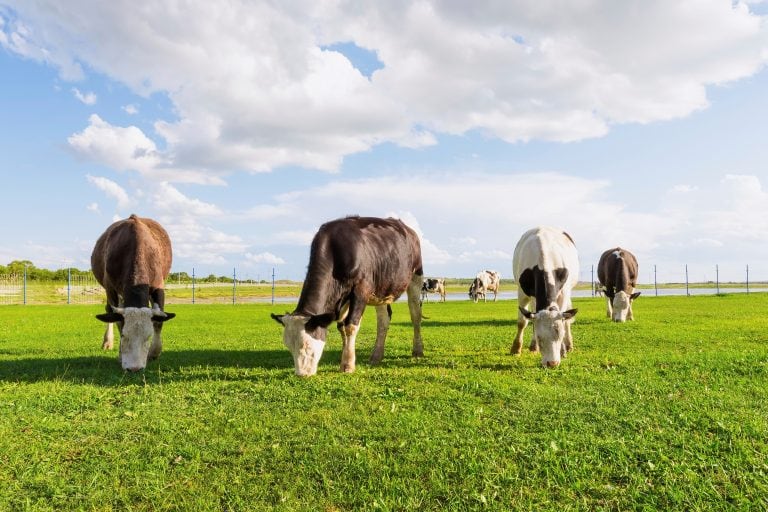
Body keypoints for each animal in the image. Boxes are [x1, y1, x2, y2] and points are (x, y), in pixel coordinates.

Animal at [90, 214, 176, 370]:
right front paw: (120, 355)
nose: (134, 368)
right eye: (124, 336)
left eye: (148, 336)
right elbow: (117, 320)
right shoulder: (110, 288)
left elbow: (158, 321)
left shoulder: (158, 286)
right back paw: (107, 342)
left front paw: (154, 352)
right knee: (109, 311)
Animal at [270, 216, 426, 376]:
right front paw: (344, 360)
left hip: (416, 277)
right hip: (381, 289)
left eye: (307, 345)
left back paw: (417, 350)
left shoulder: (361, 290)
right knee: (383, 320)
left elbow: (350, 326)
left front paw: (348, 365)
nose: (301, 374)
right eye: (288, 346)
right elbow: (342, 328)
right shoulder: (342, 298)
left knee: (415, 315)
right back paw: (376, 355)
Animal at [512, 228, 580, 368]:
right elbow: (522, 322)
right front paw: (516, 348)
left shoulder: (563, 292)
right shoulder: (522, 292)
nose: (552, 363)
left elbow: (564, 320)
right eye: (539, 337)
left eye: (560, 335)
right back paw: (533, 347)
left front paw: (563, 350)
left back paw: (569, 345)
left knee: (568, 319)